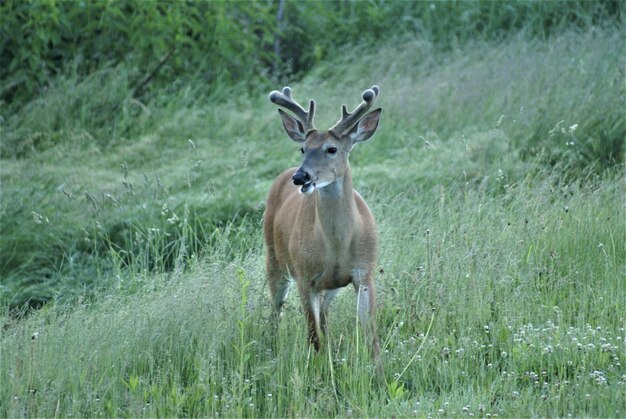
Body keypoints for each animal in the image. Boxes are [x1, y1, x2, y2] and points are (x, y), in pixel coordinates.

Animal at [262, 85, 380, 370]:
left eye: (332, 149)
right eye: (303, 148)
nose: (301, 176)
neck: (337, 246)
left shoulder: (364, 272)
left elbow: (370, 335)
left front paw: (379, 373)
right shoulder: (306, 277)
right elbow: (313, 338)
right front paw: (318, 371)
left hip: (331, 285)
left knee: (325, 315)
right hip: (274, 258)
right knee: (276, 310)